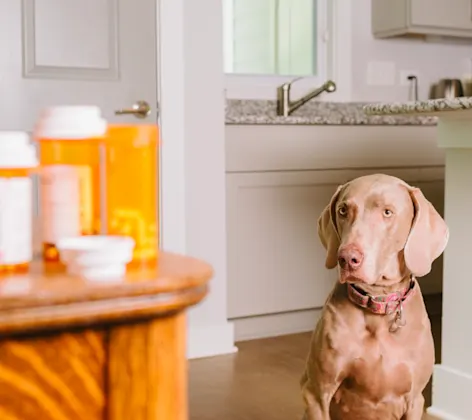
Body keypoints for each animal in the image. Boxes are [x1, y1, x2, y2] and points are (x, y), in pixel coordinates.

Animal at [300, 173, 448, 420]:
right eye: (343, 210)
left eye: (387, 212)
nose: (347, 258)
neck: (378, 304)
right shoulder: (316, 395)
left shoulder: (415, 400)